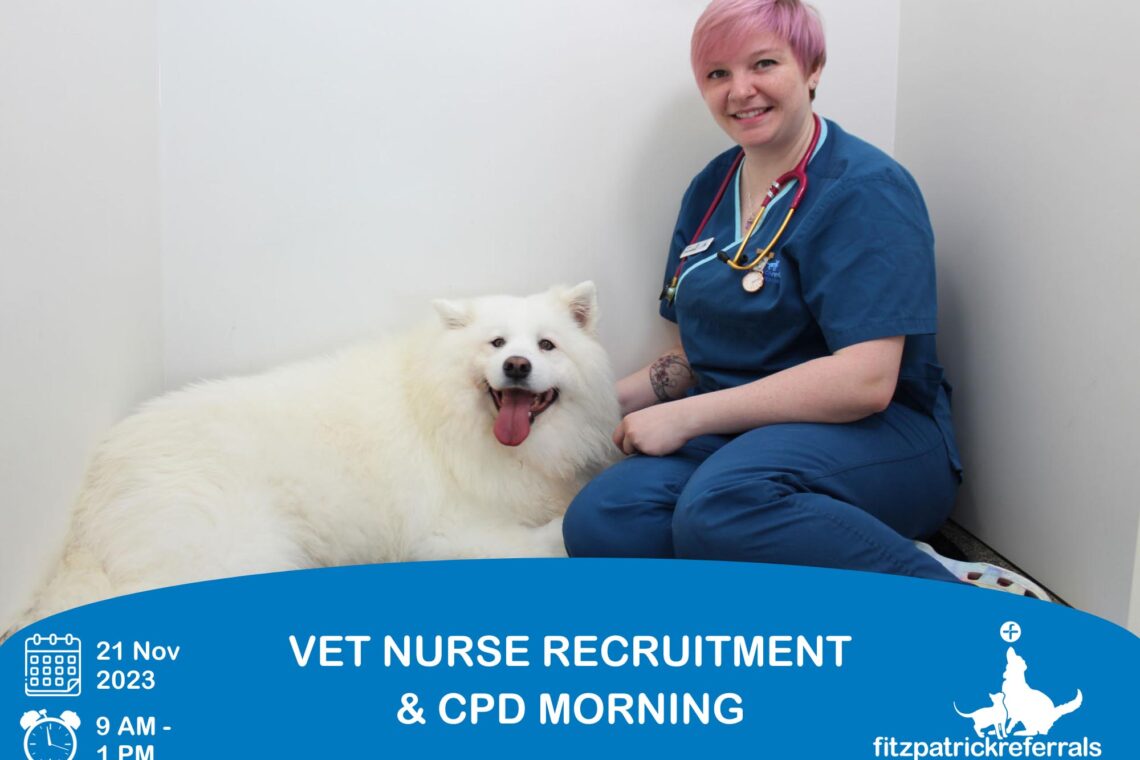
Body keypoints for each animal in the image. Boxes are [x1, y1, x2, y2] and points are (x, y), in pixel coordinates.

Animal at [13, 279, 620, 628]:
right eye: (496, 344)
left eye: (546, 345)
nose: (516, 366)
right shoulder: (449, 533)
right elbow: (548, 537)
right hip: (238, 548)